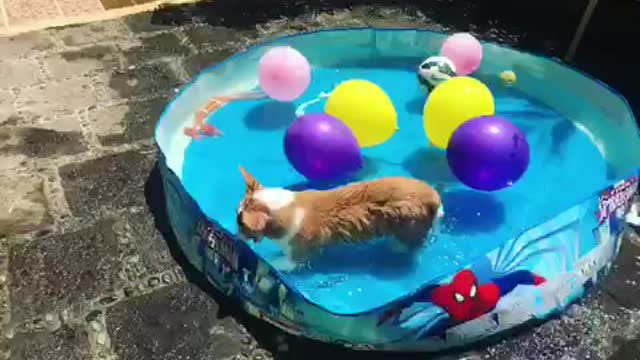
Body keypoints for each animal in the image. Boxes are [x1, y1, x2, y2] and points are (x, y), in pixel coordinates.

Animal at [236, 167, 444, 268]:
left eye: (241, 224)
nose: (236, 237)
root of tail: (432, 197)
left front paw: (270, 262)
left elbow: (284, 263)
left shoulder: (301, 253)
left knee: (413, 245)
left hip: (409, 227)